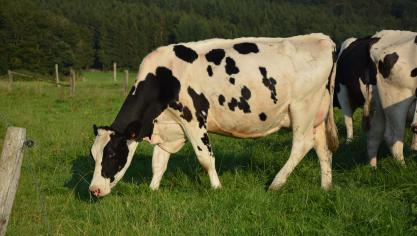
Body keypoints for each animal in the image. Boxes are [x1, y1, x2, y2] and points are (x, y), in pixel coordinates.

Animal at [88, 32, 338, 195]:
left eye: (111, 154)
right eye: (93, 155)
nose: (94, 190)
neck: (162, 79)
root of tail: (323, 39)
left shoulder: (193, 118)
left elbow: (205, 158)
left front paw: (217, 187)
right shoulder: (169, 127)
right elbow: (158, 162)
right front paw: (152, 190)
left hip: (301, 108)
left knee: (302, 145)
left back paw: (275, 184)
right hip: (316, 114)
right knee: (322, 148)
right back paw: (325, 187)